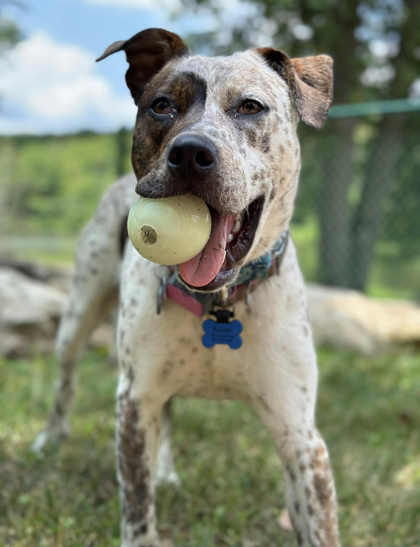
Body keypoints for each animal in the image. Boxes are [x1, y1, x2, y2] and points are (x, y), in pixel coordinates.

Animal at [34, 28, 340, 547]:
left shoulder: (301, 437)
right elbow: (138, 509)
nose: (192, 152)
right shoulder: (134, 402)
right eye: (161, 105)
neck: (218, 303)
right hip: (77, 317)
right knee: (65, 379)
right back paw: (51, 437)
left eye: (251, 106)